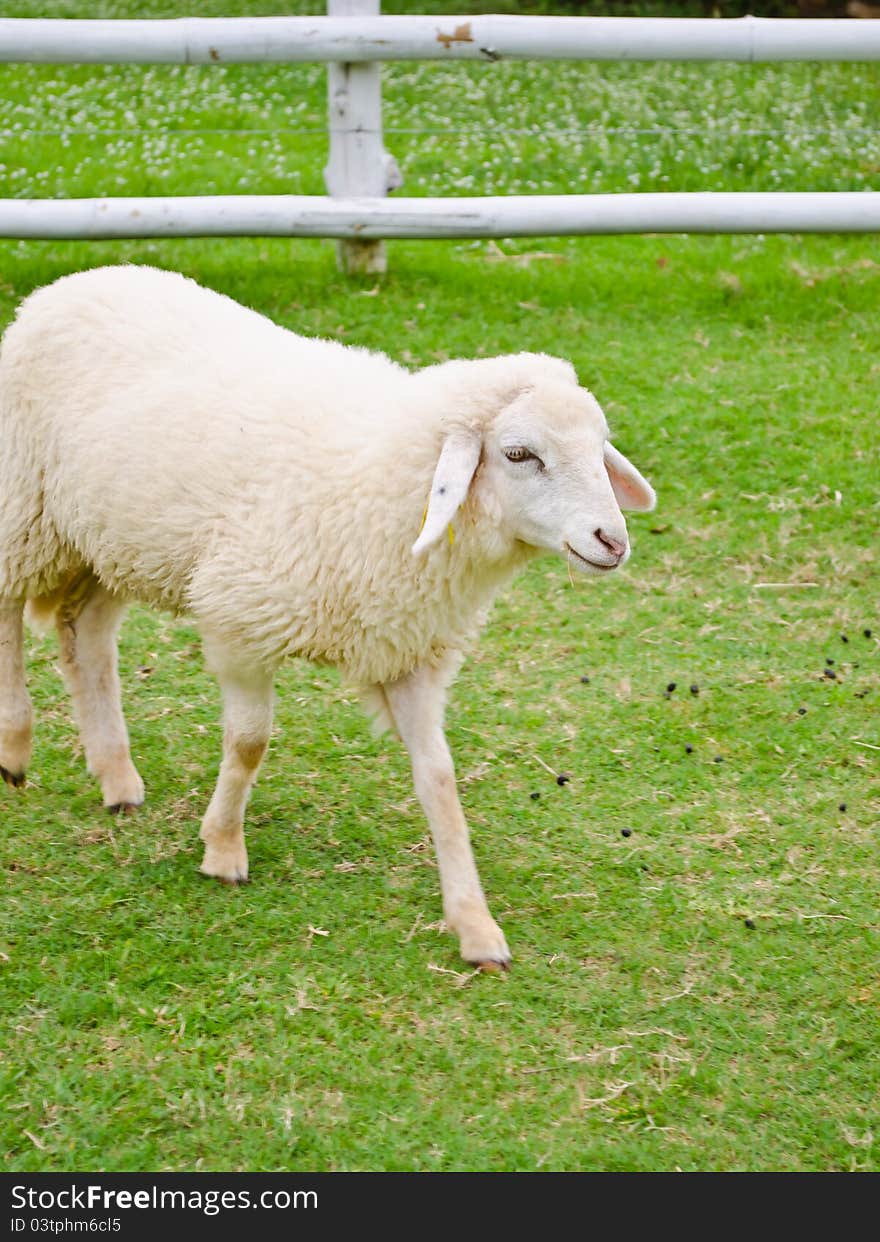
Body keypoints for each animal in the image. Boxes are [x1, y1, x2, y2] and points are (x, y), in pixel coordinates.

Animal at [0, 264, 650, 968]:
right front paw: (223, 848)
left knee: (86, 637)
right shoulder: (239, 620)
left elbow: (439, 779)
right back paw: (14, 747)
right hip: (23, 505)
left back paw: (116, 776)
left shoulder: (409, 648)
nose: (612, 540)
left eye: (601, 448)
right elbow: (249, 743)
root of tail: (74, 282)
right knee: (9, 617)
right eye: (519, 454)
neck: (385, 485)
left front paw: (475, 924)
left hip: (106, 541)